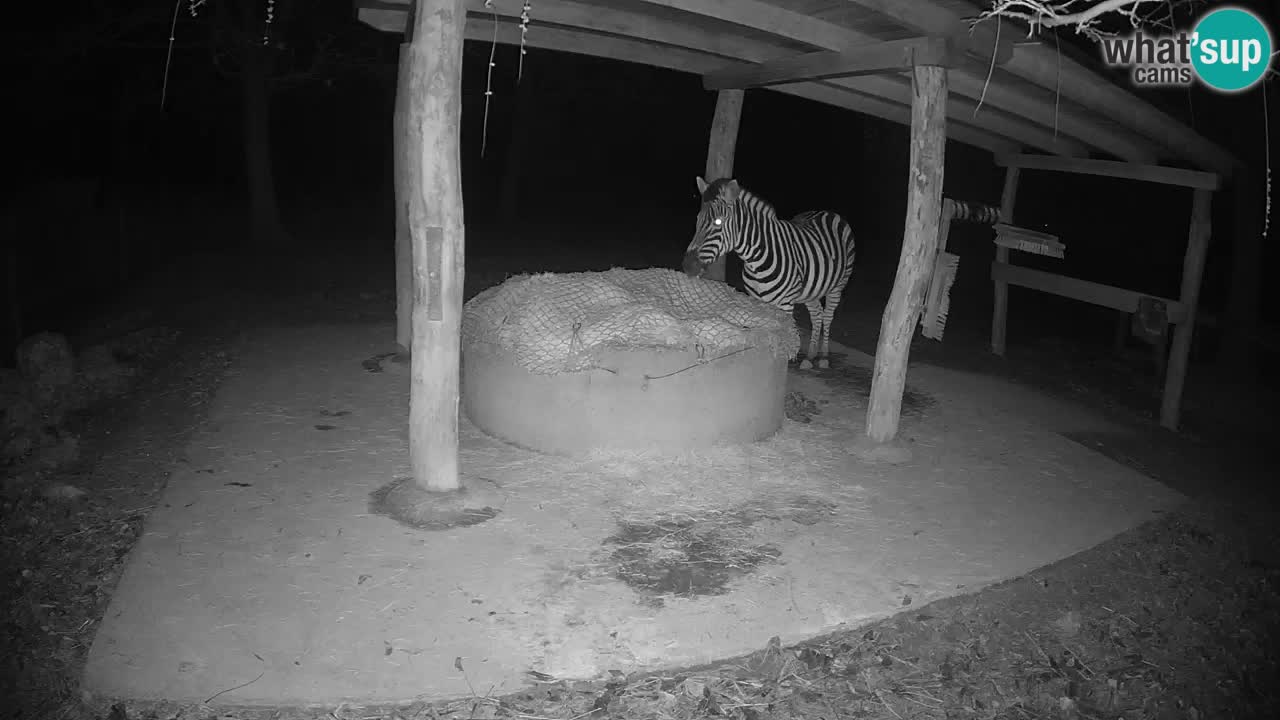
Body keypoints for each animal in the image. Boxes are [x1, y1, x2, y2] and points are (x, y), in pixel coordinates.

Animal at [682, 177, 856, 370]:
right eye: (698, 220)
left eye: (718, 222)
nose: (687, 266)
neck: (756, 260)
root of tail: (826, 211)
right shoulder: (756, 301)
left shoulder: (786, 306)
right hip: (811, 289)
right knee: (817, 314)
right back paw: (810, 357)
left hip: (837, 286)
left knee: (827, 316)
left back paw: (824, 357)